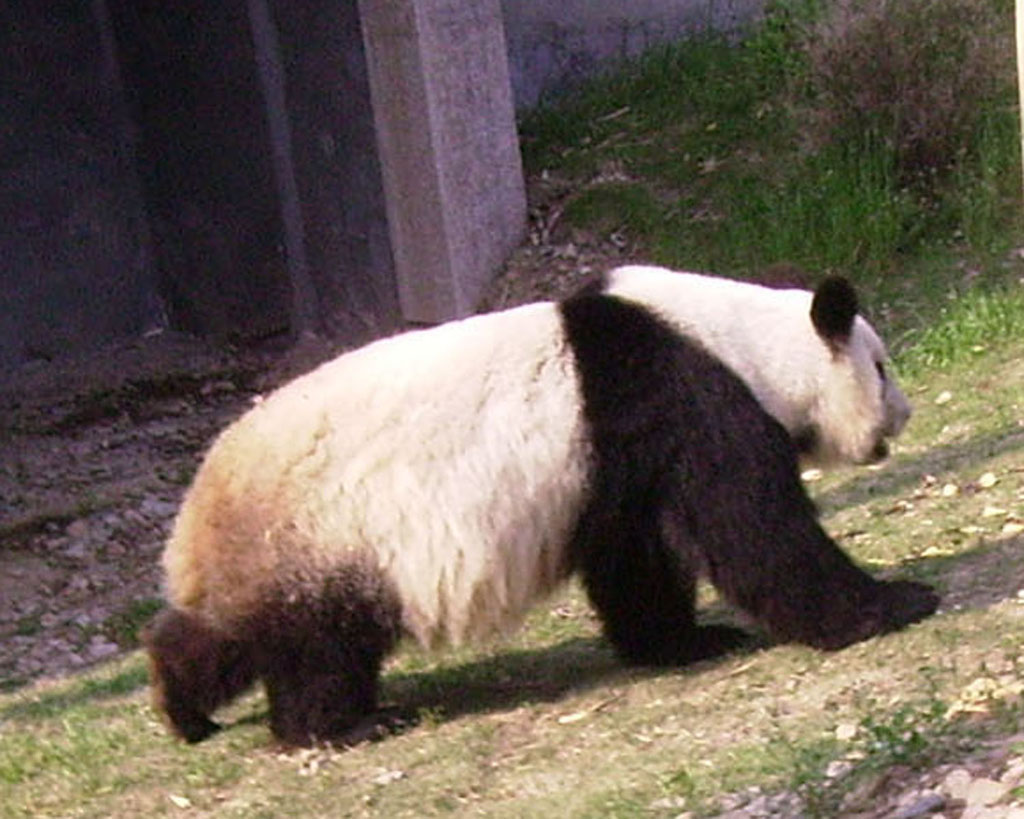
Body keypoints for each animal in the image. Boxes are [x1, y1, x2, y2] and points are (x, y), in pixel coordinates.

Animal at [142, 266, 937, 745]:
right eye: (881, 366)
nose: (902, 415)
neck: (736, 339)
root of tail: (195, 520)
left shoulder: (612, 457)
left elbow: (636, 558)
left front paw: (684, 641)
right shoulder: (676, 395)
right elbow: (755, 532)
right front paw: (895, 602)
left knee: (228, 637)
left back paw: (184, 705)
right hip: (325, 535)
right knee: (319, 648)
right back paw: (344, 725)